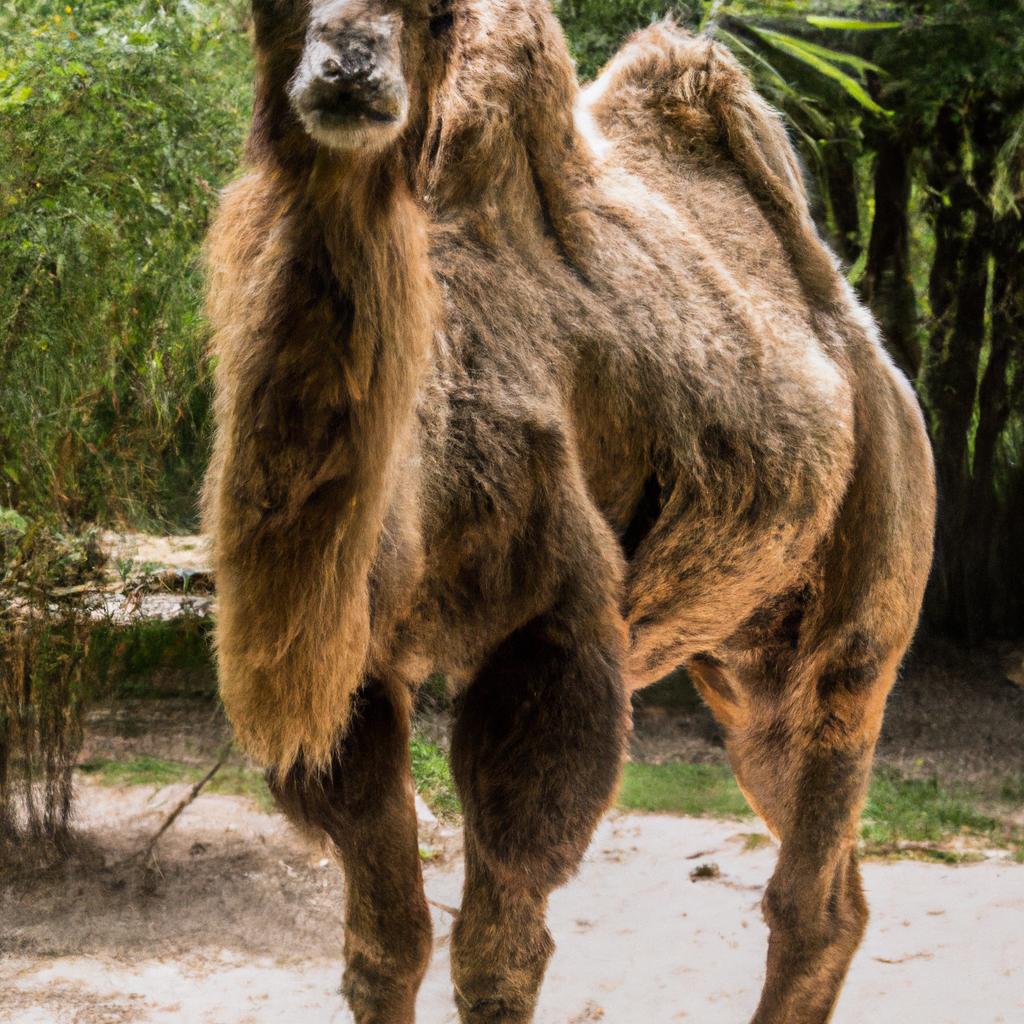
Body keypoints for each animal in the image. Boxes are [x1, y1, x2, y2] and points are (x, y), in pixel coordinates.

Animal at [201, 0, 937, 1019]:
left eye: (433, 17)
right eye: (262, 10)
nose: (349, 66)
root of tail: (868, 349)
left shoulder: (550, 634)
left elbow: (498, 952)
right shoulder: (356, 673)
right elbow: (385, 943)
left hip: (867, 591)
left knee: (814, 854)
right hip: (741, 661)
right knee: (830, 878)